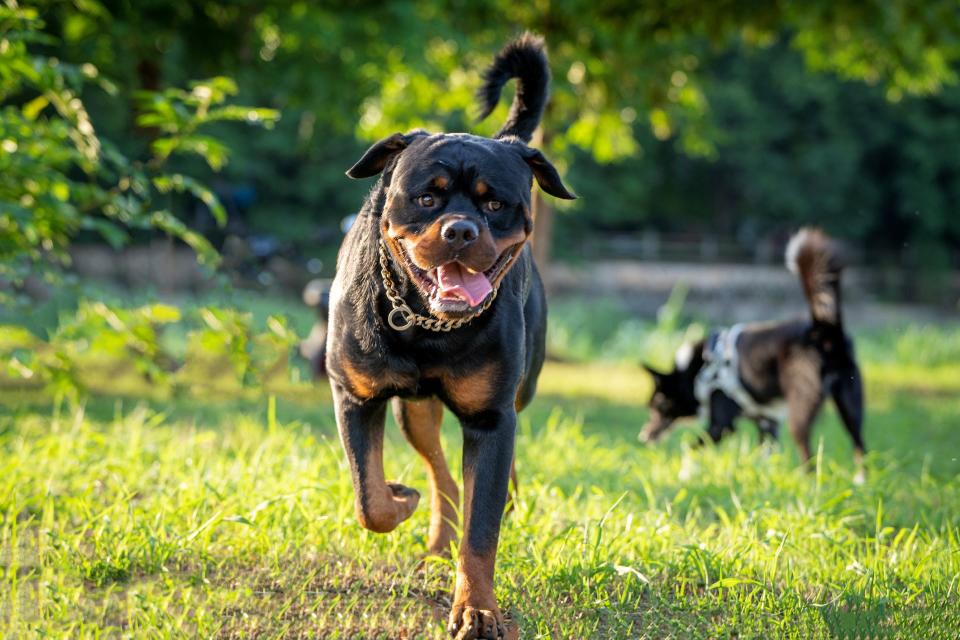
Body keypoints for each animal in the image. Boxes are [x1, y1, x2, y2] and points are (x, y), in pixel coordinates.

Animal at [326, 35, 572, 640]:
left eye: (494, 203)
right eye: (427, 198)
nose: (461, 230)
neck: (426, 325)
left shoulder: (490, 418)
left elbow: (481, 535)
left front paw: (477, 609)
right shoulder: (354, 396)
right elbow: (369, 497)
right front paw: (399, 498)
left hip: (515, 393)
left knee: (480, 479)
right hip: (413, 411)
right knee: (441, 475)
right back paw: (435, 537)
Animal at [640, 228, 868, 482]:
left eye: (657, 404)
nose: (643, 436)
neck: (699, 369)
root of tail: (822, 329)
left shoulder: (722, 425)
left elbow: (689, 447)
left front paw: (686, 473)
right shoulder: (767, 422)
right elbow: (765, 456)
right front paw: (764, 481)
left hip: (801, 410)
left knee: (808, 453)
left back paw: (808, 482)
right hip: (850, 403)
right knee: (860, 444)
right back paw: (862, 480)